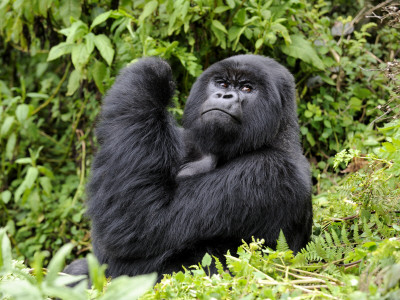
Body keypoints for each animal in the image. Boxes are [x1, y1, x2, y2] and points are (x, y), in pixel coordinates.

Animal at [65, 54, 312, 282]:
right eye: (222, 84)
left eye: (247, 88)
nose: (224, 95)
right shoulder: (187, 141)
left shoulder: (268, 172)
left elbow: (141, 220)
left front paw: (152, 74)